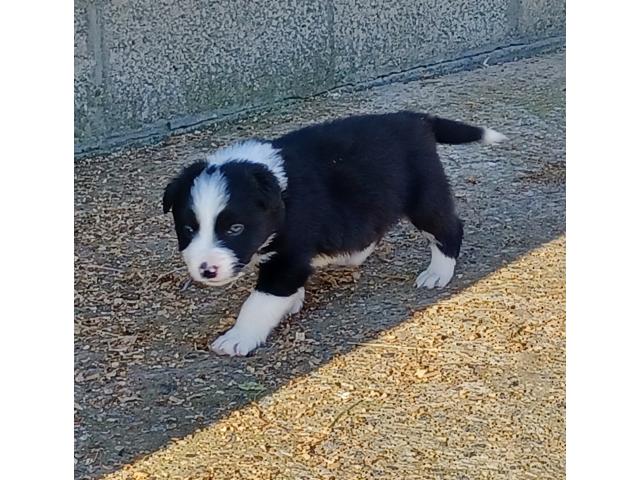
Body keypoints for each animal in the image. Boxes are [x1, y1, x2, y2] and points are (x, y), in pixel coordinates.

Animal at [162, 110, 508, 354]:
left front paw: (238, 338)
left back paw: (438, 272)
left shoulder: (290, 255)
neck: (275, 187)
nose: (206, 270)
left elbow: (260, 301)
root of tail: (417, 118)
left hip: (423, 196)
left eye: (235, 228)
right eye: (189, 228)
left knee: (448, 228)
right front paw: (292, 301)